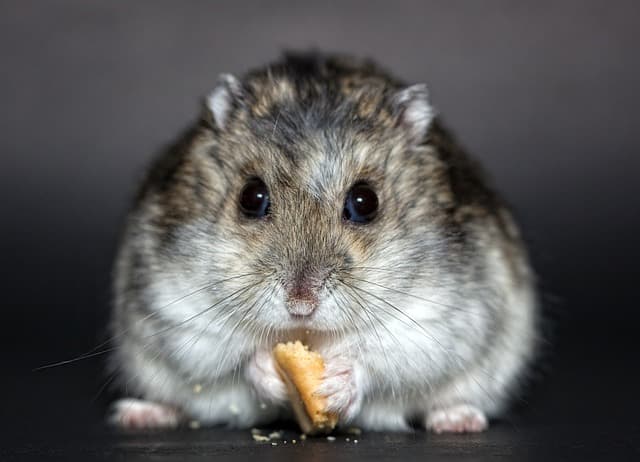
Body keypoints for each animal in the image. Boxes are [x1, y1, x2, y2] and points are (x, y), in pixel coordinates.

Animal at [108, 52, 538, 433]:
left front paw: (336, 384)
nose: (301, 305)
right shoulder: (177, 310)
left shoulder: (438, 319)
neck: (310, 335)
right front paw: (269, 369)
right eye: (251, 197)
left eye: (365, 202)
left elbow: (382, 358)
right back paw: (140, 414)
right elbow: (232, 356)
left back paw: (458, 420)